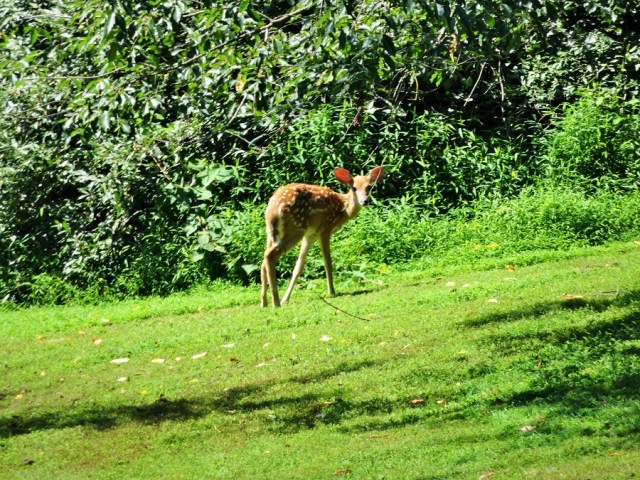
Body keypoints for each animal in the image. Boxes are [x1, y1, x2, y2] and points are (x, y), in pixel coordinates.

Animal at [260, 166, 385, 308]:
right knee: (269, 256)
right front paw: (331, 292)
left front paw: (286, 299)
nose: (365, 201)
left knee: (263, 260)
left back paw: (264, 302)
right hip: (296, 229)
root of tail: (273, 209)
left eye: (368, 187)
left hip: (272, 233)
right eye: (354, 187)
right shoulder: (326, 229)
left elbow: (299, 266)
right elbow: (327, 262)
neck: (343, 209)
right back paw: (276, 303)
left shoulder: (311, 234)